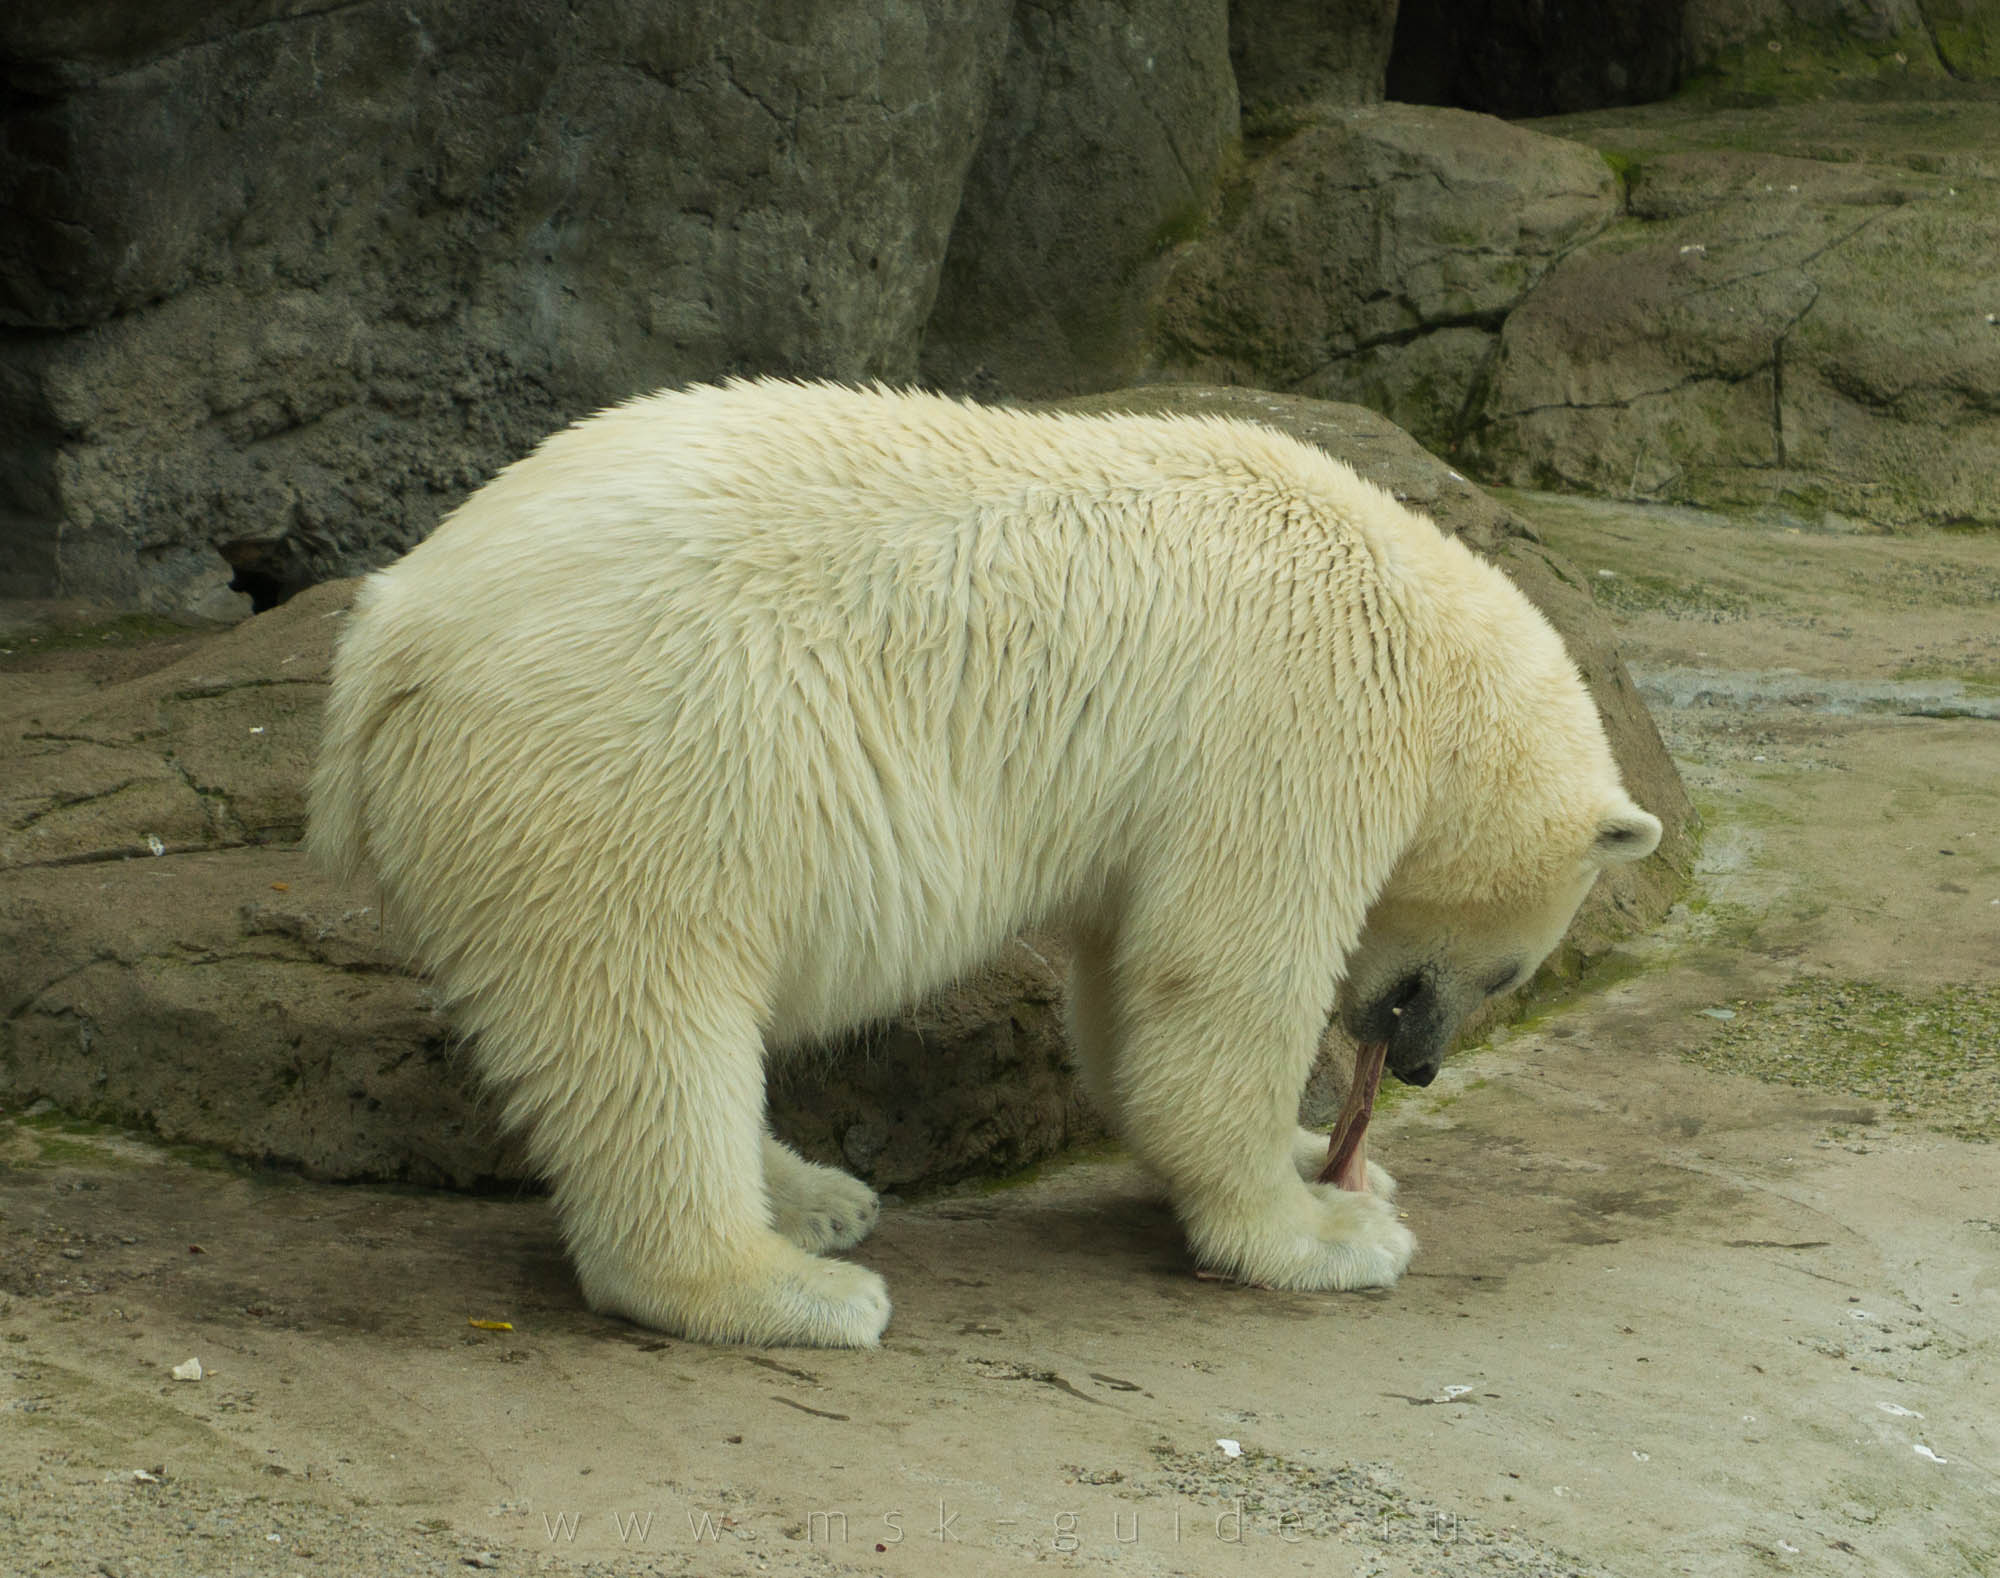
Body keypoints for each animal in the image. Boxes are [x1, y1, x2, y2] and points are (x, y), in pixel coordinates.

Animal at [308, 379, 1661, 1348]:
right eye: (1508, 971)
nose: (1420, 1069)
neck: (1418, 632)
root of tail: (388, 638)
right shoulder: (1295, 716)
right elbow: (1223, 976)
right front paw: (1327, 1228)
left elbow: (1129, 986)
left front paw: (1309, 1160)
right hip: (634, 764)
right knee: (641, 1011)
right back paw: (784, 1286)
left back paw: (817, 1197)